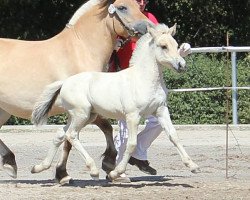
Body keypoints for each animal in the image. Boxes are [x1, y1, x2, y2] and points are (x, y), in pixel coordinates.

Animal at [0, 0, 148, 184]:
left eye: (138, 5)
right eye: (122, 7)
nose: (148, 27)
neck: (82, 50)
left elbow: (71, 138)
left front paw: (62, 173)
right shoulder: (83, 108)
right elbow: (93, 131)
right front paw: (105, 164)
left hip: (3, 110)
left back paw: (10, 163)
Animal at [31, 23, 199, 181]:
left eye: (176, 45)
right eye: (163, 46)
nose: (182, 65)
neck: (143, 80)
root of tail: (65, 82)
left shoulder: (161, 110)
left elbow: (173, 135)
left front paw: (193, 166)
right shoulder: (133, 116)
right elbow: (131, 143)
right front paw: (115, 173)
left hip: (86, 116)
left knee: (61, 134)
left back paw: (39, 167)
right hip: (81, 114)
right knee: (71, 135)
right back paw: (93, 170)